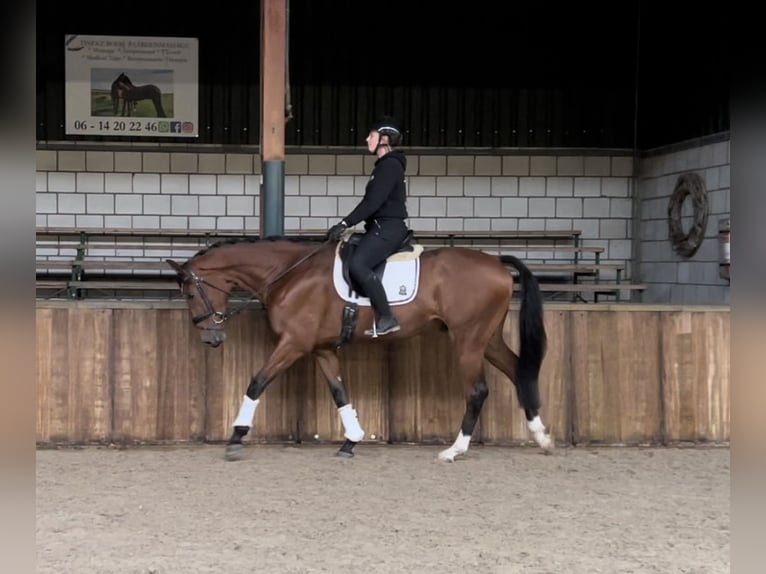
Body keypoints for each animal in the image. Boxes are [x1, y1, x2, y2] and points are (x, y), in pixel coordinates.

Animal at [168, 234, 556, 464]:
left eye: (190, 294)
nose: (211, 339)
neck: (288, 273)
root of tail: (496, 262)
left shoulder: (293, 343)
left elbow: (256, 382)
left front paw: (236, 437)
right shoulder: (321, 348)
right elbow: (340, 392)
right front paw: (351, 441)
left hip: (468, 340)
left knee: (477, 390)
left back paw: (454, 450)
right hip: (487, 339)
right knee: (519, 372)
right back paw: (542, 437)